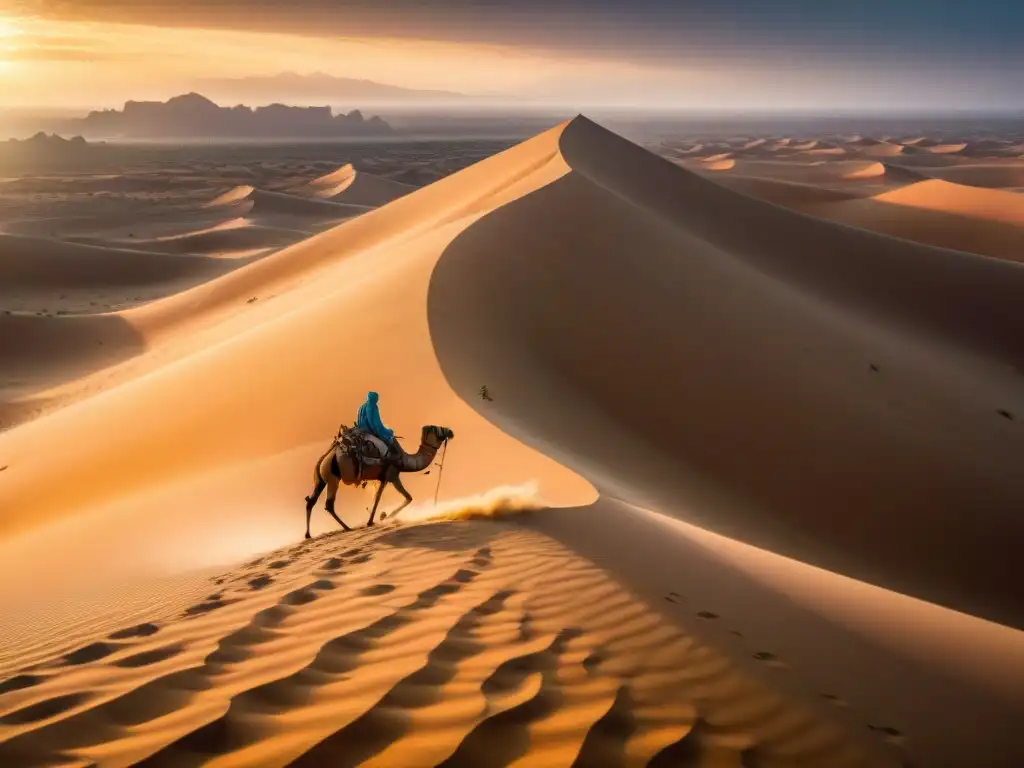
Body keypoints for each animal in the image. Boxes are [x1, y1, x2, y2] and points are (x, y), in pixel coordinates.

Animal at [299, 423, 452, 536]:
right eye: (436, 428)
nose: (450, 431)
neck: (403, 459)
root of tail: (325, 457)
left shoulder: (388, 477)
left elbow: (407, 497)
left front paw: (383, 517)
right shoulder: (390, 475)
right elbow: (380, 498)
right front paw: (375, 520)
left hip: (321, 479)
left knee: (311, 501)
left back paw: (308, 535)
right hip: (333, 478)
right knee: (329, 504)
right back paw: (347, 528)